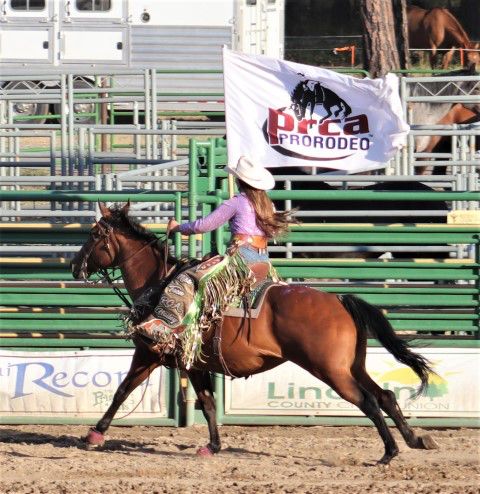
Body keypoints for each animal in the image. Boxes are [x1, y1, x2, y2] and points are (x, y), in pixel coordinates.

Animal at [70, 203, 438, 466]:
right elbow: (208, 403)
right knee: (386, 396)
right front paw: (213, 446)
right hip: (352, 366)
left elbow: (122, 391)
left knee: (369, 401)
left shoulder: (148, 353)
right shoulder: (195, 364)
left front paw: (94, 434)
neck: (158, 283)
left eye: (94, 234)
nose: (74, 266)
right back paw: (416, 440)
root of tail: (338, 300)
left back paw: (389, 453)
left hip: (331, 371)